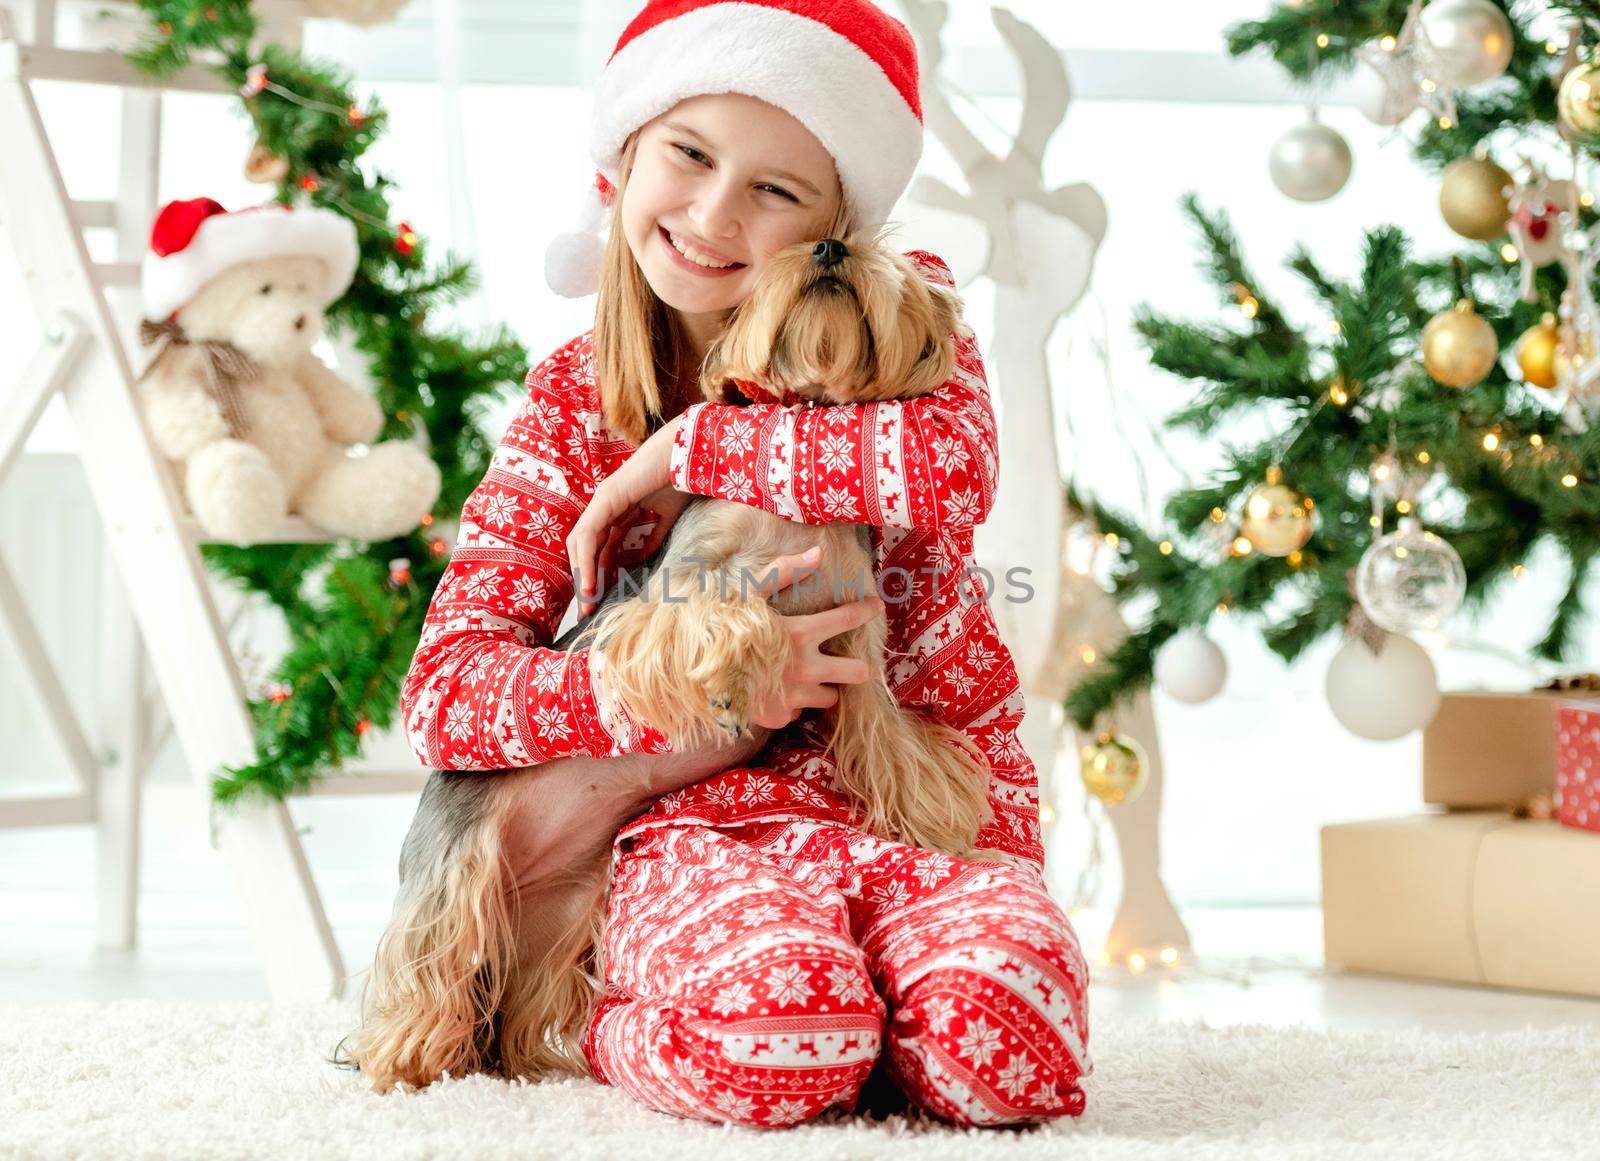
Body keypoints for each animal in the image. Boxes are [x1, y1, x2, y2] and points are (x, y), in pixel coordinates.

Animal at [347, 230, 998, 1100]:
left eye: (864, 246)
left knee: (517, 998)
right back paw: (409, 1055)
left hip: (561, 914)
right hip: (457, 868)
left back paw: (534, 1063)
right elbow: (730, 611)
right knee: (430, 957)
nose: (829, 246)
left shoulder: (856, 643)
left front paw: (945, 819)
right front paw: (736, 676)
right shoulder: (662, 600)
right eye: (796, 247)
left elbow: (890, 741)